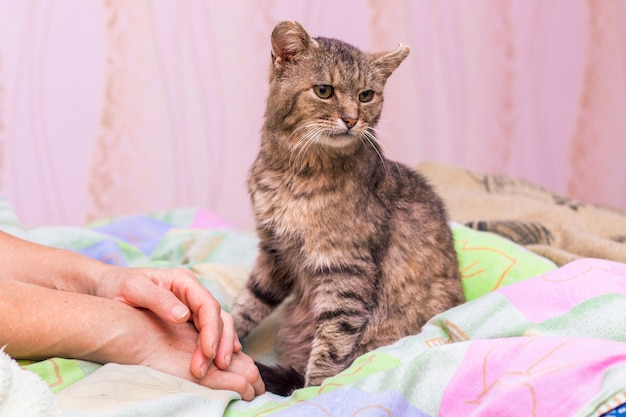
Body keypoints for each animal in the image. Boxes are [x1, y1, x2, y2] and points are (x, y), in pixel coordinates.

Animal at [229, 19, 464, 394]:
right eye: (324, 91)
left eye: (366, 95)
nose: (352, 119)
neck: (295, 173)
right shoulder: (275, 253)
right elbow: (250, 301)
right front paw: (221, 337)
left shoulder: (346, 269)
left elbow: (332, 342)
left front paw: (313, 393)